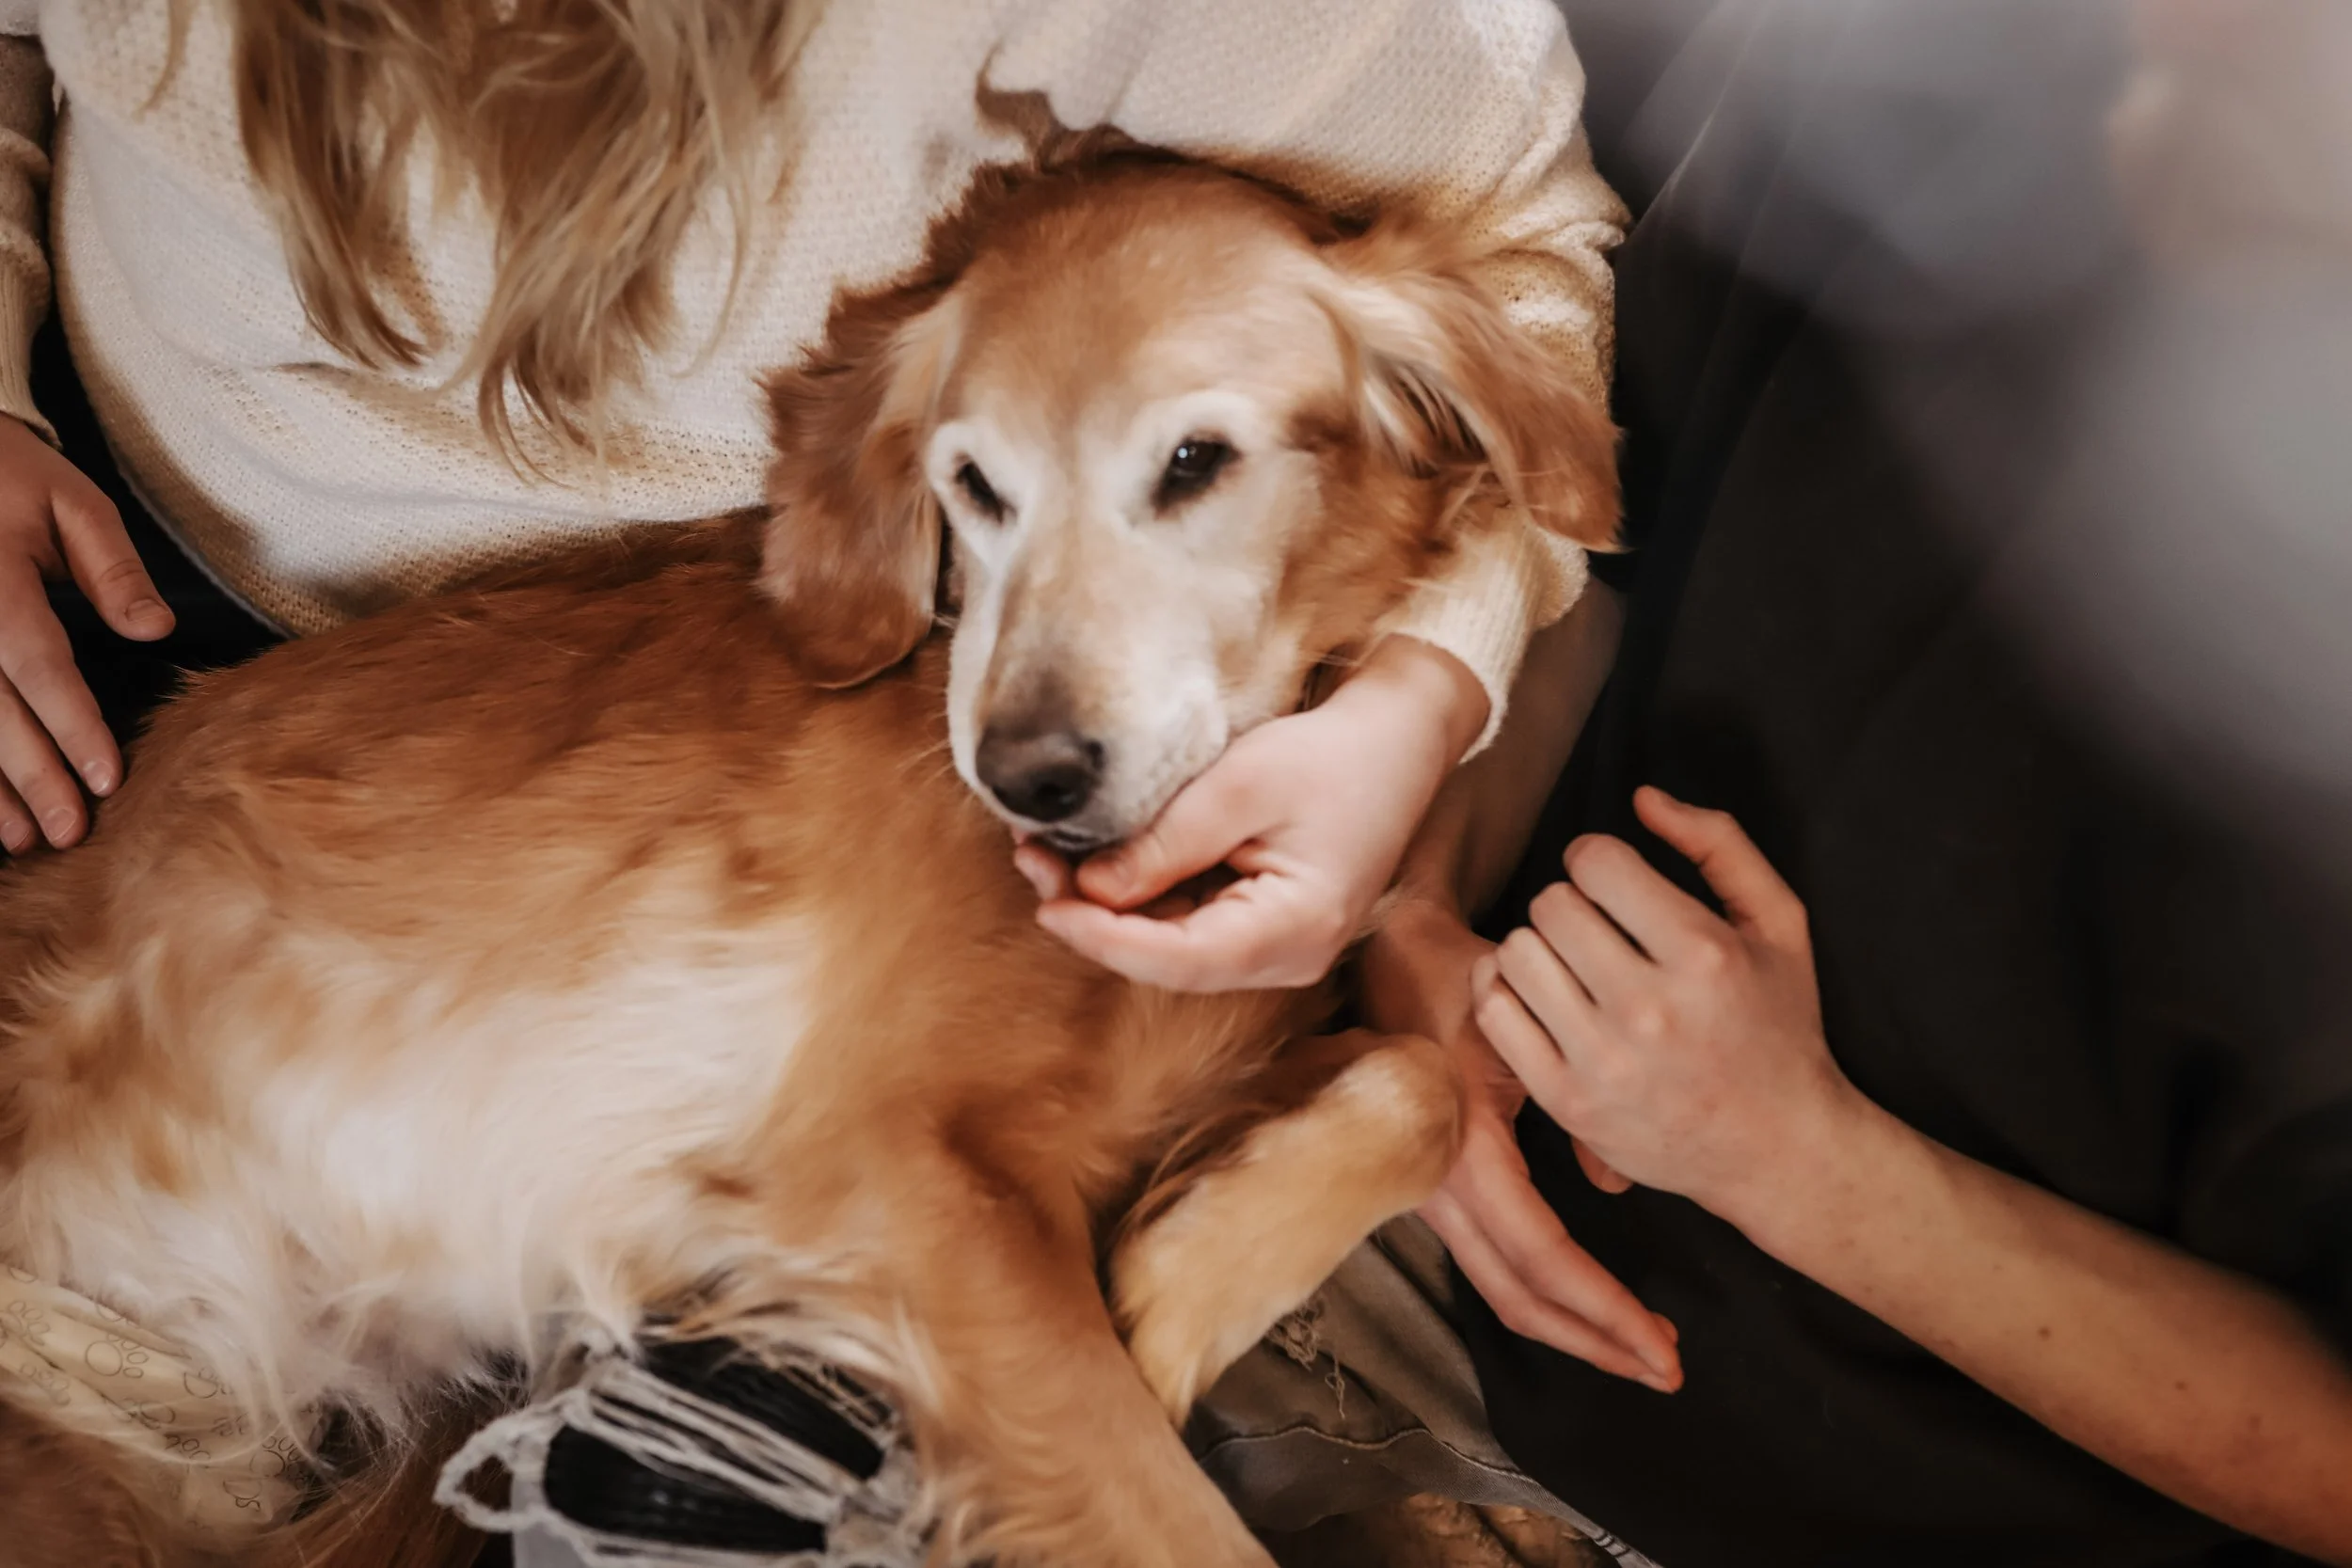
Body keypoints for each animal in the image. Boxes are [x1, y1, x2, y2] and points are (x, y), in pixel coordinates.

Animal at [0, 148, 1616, 1567]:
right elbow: (1183, 1526)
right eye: (975, 486)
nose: (1026, 775)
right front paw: (1168, 1314)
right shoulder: (896, 1173)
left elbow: (1421, 1077)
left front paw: (1173, 1271)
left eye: (1195, 461)